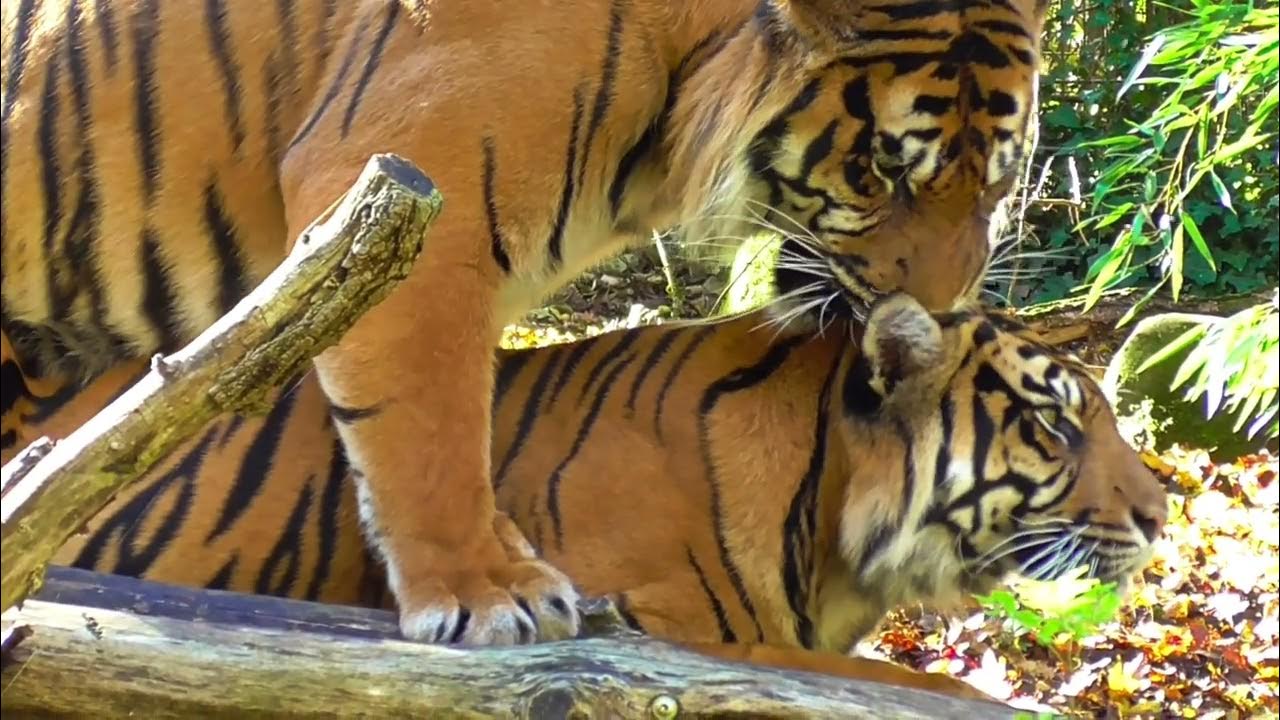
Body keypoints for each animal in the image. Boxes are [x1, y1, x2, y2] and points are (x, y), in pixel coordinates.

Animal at [2, 0, 1051, 644]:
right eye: (879, 171)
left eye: (995, 180)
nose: (934, 315)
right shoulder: (402, 183)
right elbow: (429, 433)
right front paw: (487, 593)